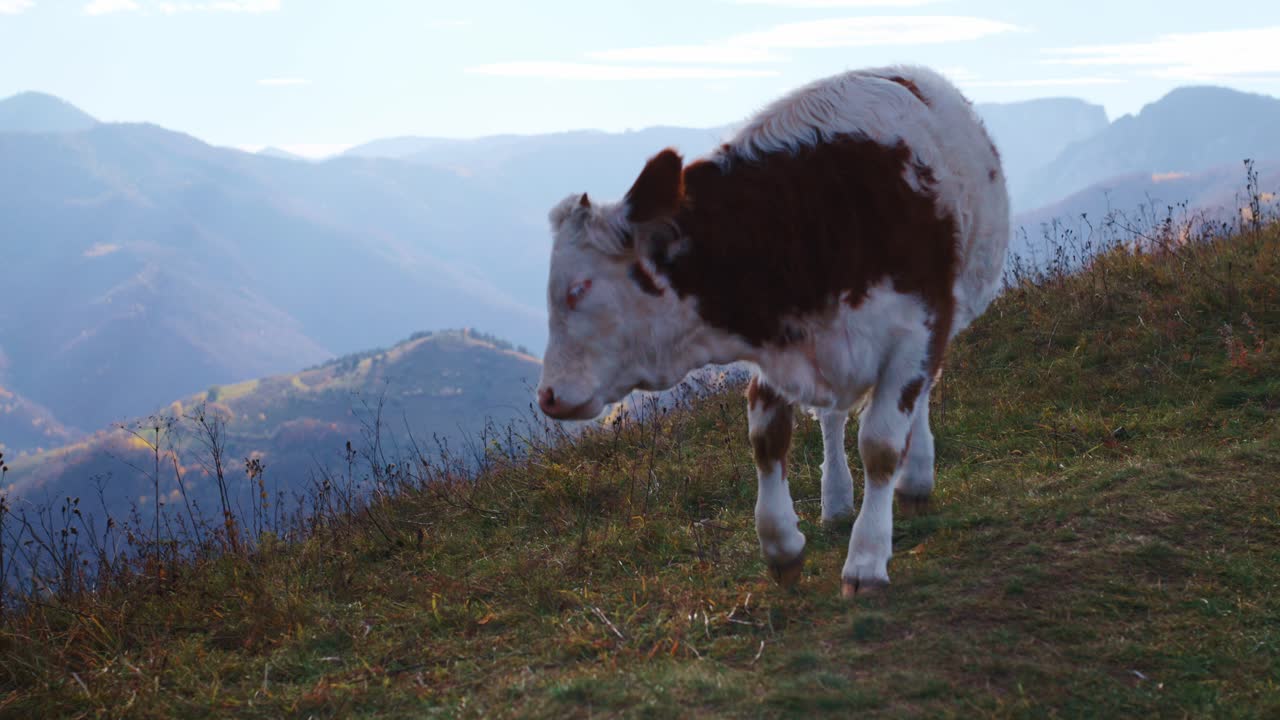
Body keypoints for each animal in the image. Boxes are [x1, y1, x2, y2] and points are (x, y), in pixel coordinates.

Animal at [536, 65, 1009, 597]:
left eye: (578, 289)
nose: (548, 395)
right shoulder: (781, 344)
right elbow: (767, 436)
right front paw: (782, 545)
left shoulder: (917, 330)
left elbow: (882, 445)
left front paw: (866, 560)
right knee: (831, 417)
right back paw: (837, 500)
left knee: (918, 398)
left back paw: (915, 480)